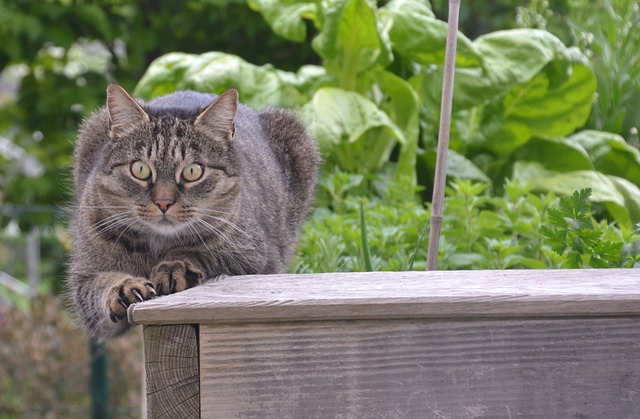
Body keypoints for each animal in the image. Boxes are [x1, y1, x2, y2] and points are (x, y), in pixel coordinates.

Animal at [69, 83, 318, 342]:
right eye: (139, 169)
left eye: (192, 171)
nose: (163, 202)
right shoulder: (84, 278)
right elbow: (100, 287)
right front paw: (123, 288)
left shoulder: (259, 257)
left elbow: (198, 251)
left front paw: (173, 266)